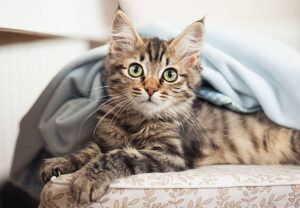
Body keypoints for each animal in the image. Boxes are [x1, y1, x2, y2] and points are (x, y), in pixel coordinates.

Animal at [39, 9, 300, 203]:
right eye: (135, 70)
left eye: (170, 74)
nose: (151, 89)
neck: (137, 120)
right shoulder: (107, 139)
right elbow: (89, 150)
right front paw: (60, 162)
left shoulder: (171, 155)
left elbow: (121, 155)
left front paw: (88, 179)